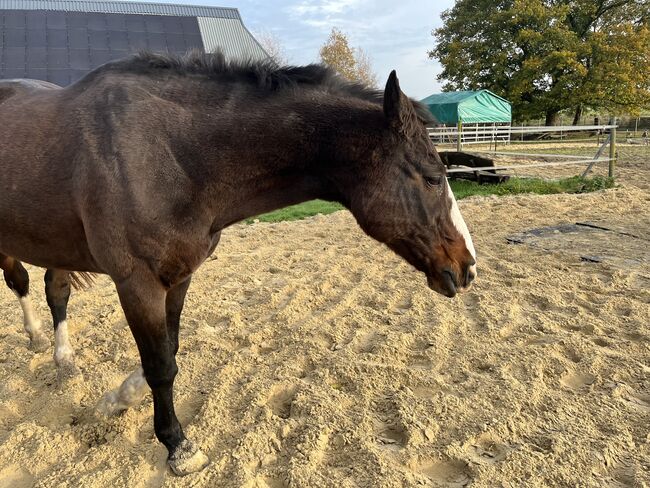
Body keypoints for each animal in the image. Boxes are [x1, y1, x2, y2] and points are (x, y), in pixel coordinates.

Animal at [0, 51, 476, 474]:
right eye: (433, 178)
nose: (468, 266)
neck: (171, 153)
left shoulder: (178, 277)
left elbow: (169, 351)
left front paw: (117, 400)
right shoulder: (137, 282)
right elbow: (160, 366)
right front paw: (177, 446)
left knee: (55, 289)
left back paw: (61, 357)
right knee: (21, 281)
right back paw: (39, 338)